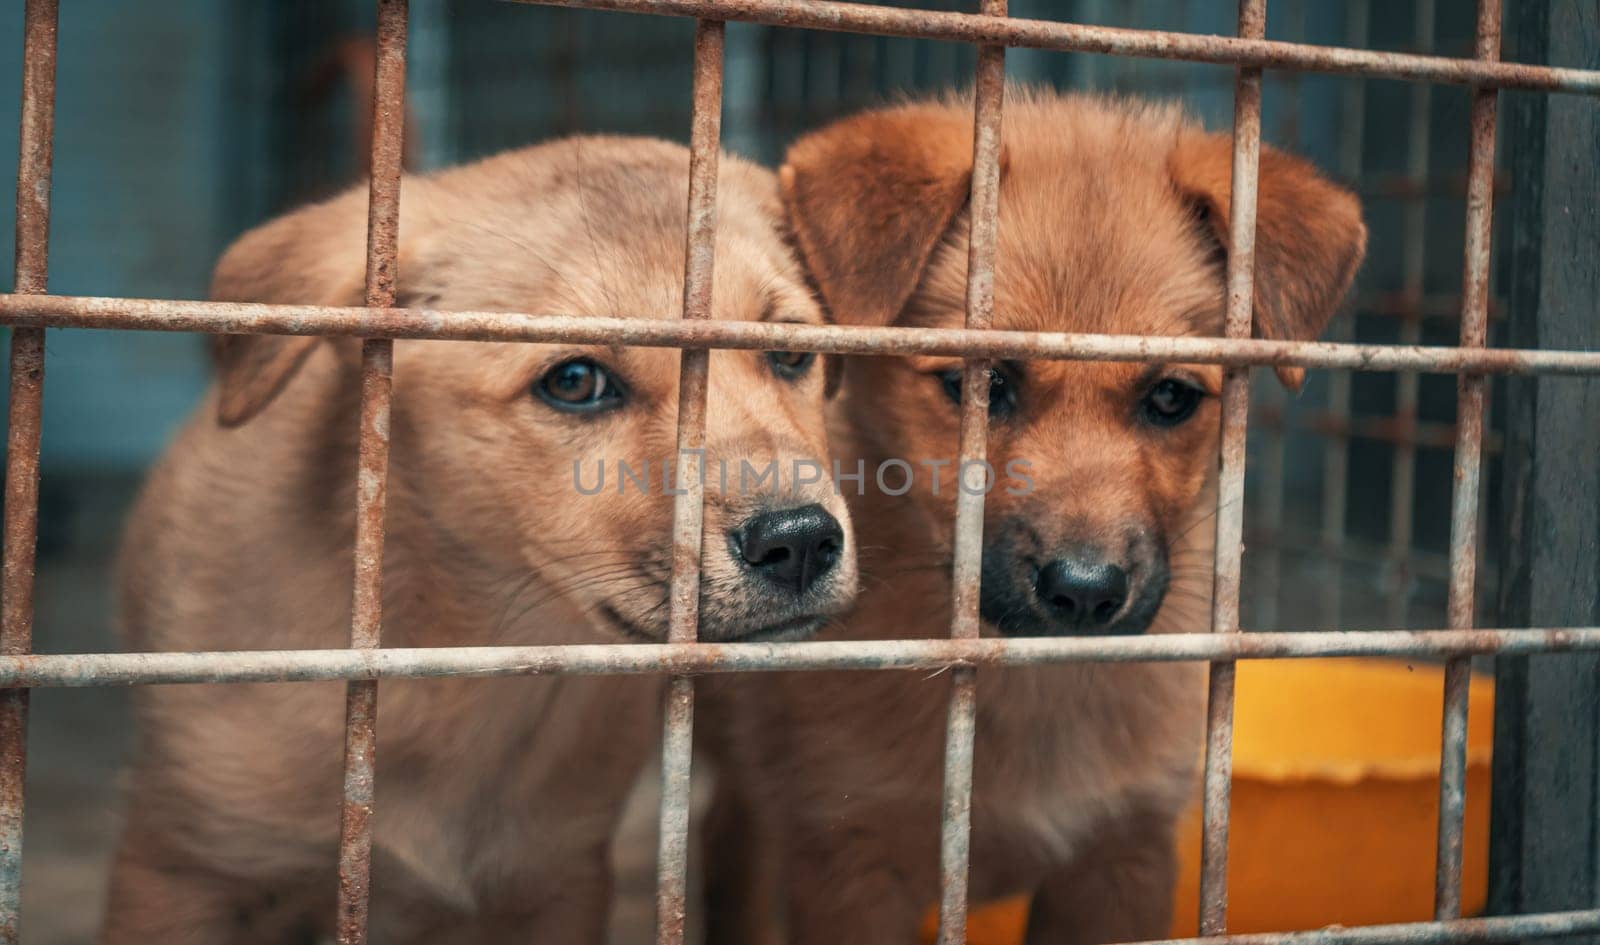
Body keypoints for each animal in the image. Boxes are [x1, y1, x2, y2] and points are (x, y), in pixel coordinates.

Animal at [700, 94, 1363, 945]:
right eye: (982, 385)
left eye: (1171, 396)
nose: (1084, 590)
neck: (1022, 683)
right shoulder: (849, 860)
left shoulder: (1122, 858)